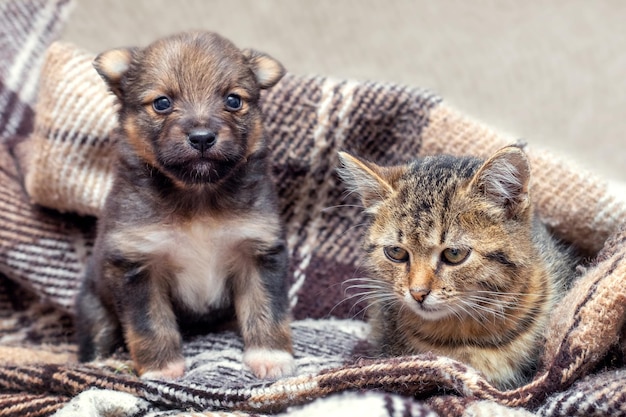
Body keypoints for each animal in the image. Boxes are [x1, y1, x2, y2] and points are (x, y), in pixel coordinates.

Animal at [74, 30, 294, 378]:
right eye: (162, 103)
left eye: (233, 100)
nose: (202, 137)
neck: (197, 197)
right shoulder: (137, 265)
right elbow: (150, 324)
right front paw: (162, 368)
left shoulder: (258, 252)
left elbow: (266, 307)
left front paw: (271, 356)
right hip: (95, 305)